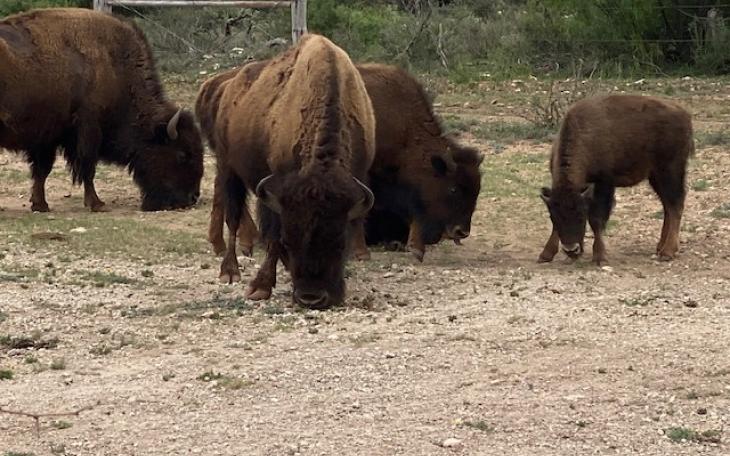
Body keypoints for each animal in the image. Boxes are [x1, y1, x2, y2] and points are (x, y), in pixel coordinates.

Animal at [0, 8, 203, 212]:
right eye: (183, 154)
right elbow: (87, 167)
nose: (192, 197)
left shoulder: (48, 136)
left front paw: (40, 205)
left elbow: (42, 171)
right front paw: (96, 204)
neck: (114, 65)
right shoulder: (88, 129)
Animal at [196, 35, 375, 309]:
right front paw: (260, 287)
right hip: (228, 168)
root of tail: (231, 84)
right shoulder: (275, 195)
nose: (311, 297)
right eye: (290, 241)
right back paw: (230, 271)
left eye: (339, 243)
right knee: (233, 217)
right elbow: (272, 237)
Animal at [539, 94, 694, 265]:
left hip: (670, 172)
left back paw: (668, 251)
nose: (571, 250)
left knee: (675, 205)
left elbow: (597, 219)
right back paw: (660, 247)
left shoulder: (604, 185)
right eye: (553, 217)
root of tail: (684, 114)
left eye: (580, 215)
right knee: (667, 206)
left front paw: (599, 256)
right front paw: (546, 254)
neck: (585, 138)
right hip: (655, 176)